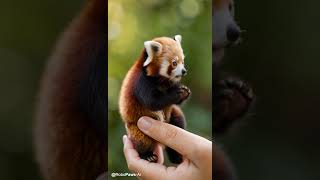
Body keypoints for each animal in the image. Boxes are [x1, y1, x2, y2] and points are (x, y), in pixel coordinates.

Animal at [119, 35, 190, 163]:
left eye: (183, 61)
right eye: (174, 63)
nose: (184, 71)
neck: (161, 80)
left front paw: (184, 92)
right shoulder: (142, 82)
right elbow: (153, 102)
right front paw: (176, 93)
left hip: (172, 116)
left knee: (178, 120)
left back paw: (176, 156)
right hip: (136, 125)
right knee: (142, 138)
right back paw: (147, 155)